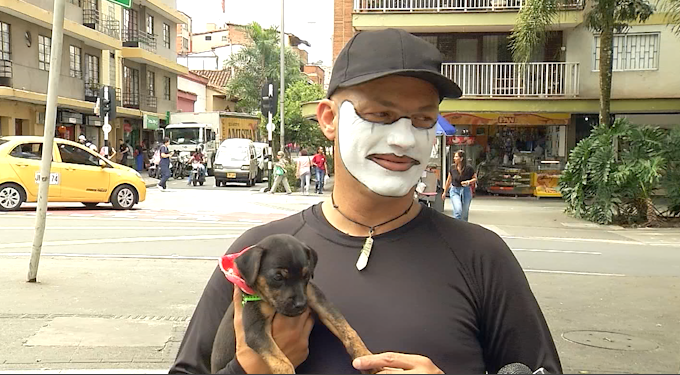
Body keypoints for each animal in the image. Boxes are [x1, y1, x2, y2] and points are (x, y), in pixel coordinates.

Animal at [211, 234, 374, 374]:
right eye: (278, 277)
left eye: (306, 275)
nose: (301, 305)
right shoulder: (255, 329)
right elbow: (282, 363)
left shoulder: (316, 298)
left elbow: (347, 330)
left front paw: (365, 357)